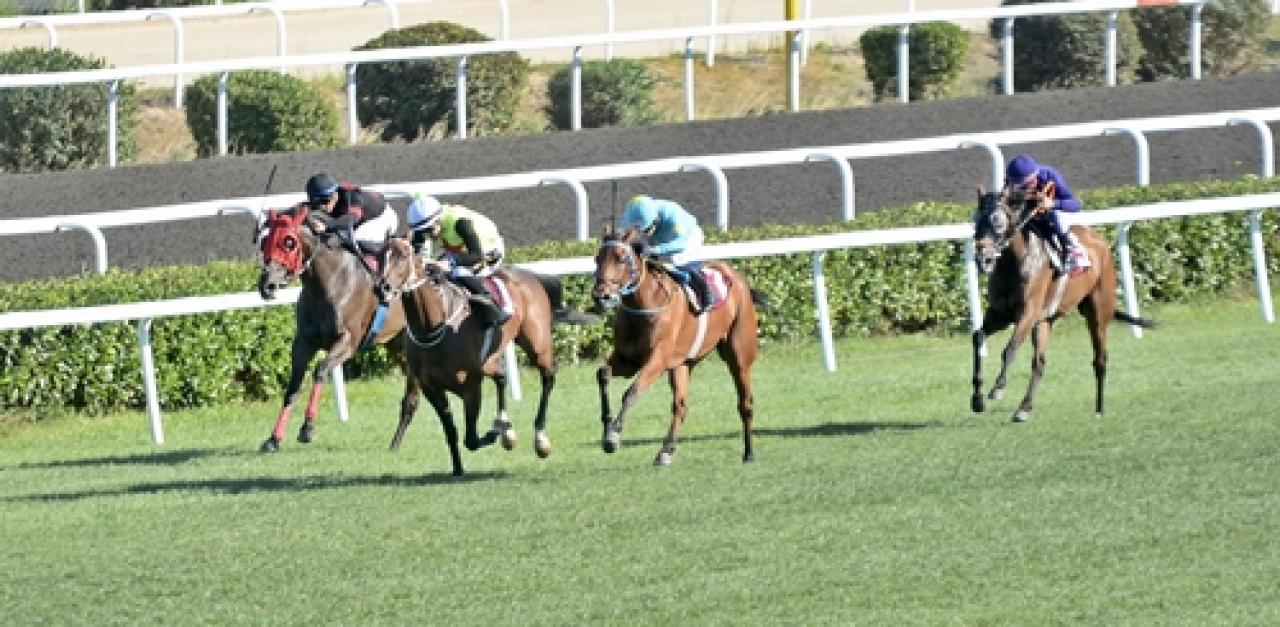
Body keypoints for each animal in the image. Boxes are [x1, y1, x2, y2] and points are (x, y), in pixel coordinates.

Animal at [257, 208, 417, 452]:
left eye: (289, 242)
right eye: (265, 241)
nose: (266, 285)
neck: (329, 282)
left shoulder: (347, 342)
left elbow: (321, 370)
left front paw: (307, 429)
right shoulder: (303, 342)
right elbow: (293, 386)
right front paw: (274, 438)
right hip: (397, 345)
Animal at [368, 235, 591, 476]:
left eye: (402, 255)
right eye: (379, 255)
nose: (382, 287)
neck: (432, 326)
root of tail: (529, 275)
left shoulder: (471, 387)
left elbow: (472, 439)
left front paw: (496, 434)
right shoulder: (432, 389)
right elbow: (452, 432)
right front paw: (458, 468)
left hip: (537, 345)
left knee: (548, 376)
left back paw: (540, 438)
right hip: (490, 359)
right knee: (502, 376)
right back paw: (505, 424)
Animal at [591, 225, 768, 465]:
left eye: (621, 259)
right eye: (597, 259)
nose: (601, 296)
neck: (645, 305)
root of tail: (739, 280)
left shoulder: (658, 359)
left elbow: (631, 391)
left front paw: (613, 437)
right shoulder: (628, 359)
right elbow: (603, 374)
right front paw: (607, 426)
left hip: (739, 357)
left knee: (745, 403)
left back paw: (749, 452)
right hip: (682, 364)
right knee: (681, 406)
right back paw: (665, 451)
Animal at [967, 185, 1162, 422]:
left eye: (997, 221)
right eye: (976, 221)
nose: (982, 259)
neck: (1014, 261)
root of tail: (1101, 242)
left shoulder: (1027, 313)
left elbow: (1009, 349)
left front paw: (997, 389)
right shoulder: (1000, 314)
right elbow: (978, 337)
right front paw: (977, 399)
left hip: (1097, 314)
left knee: (1100, 359)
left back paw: (1099, 409)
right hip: (1044, 322)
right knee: (1039, 363)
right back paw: (1024, 408)